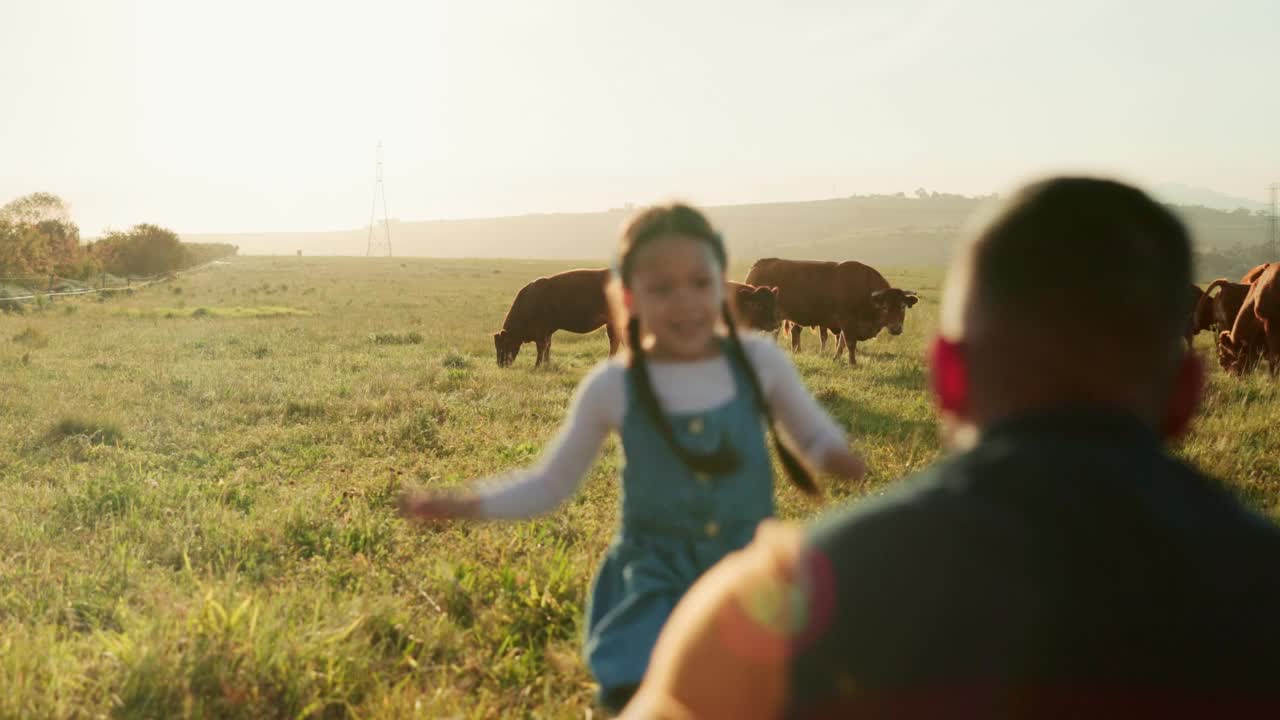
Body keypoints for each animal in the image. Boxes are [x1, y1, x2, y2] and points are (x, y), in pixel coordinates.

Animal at [742, 257, 921, 363]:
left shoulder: (844, 326)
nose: (896, 328)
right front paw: (853, 363)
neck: (864, 290)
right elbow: (849, 343)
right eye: (885, 307)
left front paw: (836, 358)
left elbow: (840, 342)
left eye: (902, 306)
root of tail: (757, 265)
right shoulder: (848, 323)